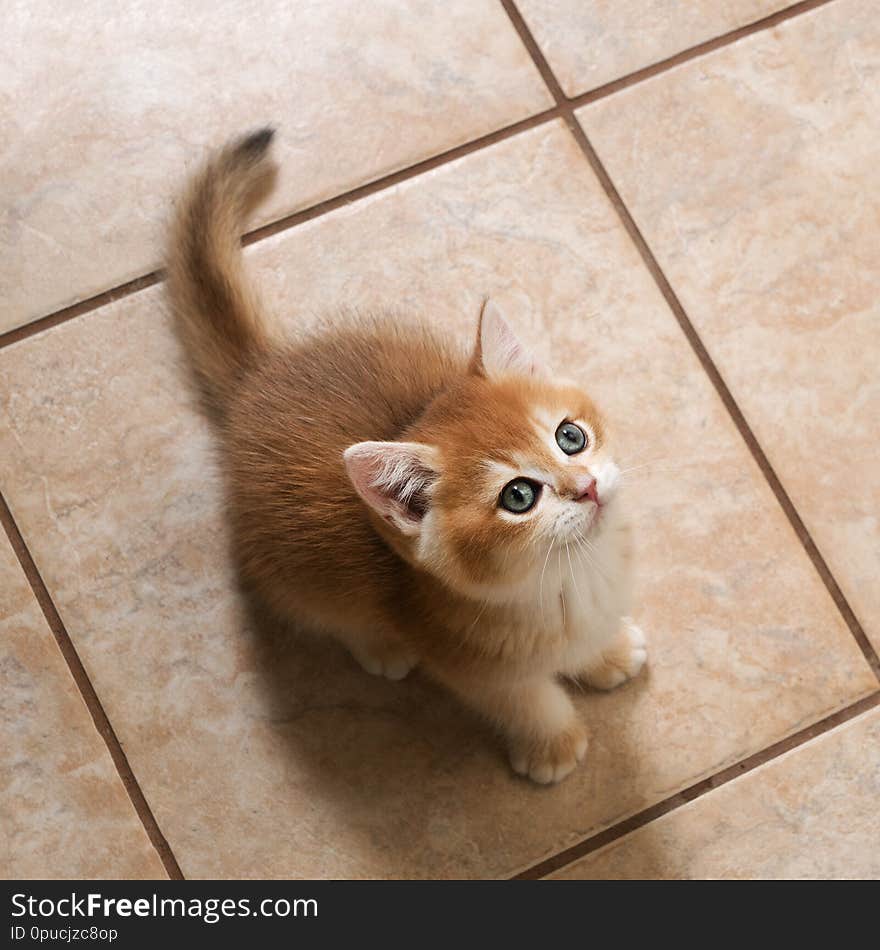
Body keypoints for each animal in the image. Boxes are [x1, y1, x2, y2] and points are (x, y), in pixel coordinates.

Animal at [167, 130, 648, 784]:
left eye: (570, 437)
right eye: (518, 495)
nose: (588, 486)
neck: (571, 578)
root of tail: (258, 377)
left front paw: (607, 653)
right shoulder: (473, 667)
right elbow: (528, 699)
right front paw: (552, 744)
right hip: (294, 573)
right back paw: (381, 646)